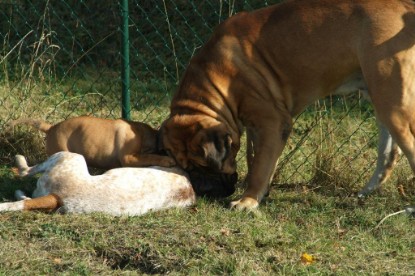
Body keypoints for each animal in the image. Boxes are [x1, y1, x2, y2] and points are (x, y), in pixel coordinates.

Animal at [161, 0, 415, 210]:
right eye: (185, 167)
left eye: (204, 165)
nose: (199, 188)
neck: (214, 83)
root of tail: (406, 7)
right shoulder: (256, 126)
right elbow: (257, 160)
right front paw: (260, 193)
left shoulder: (272, 122)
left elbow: (260, 166)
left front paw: (247, 201)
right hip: (380, 99)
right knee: (388, 154)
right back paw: (366, 192)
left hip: (395, 106)